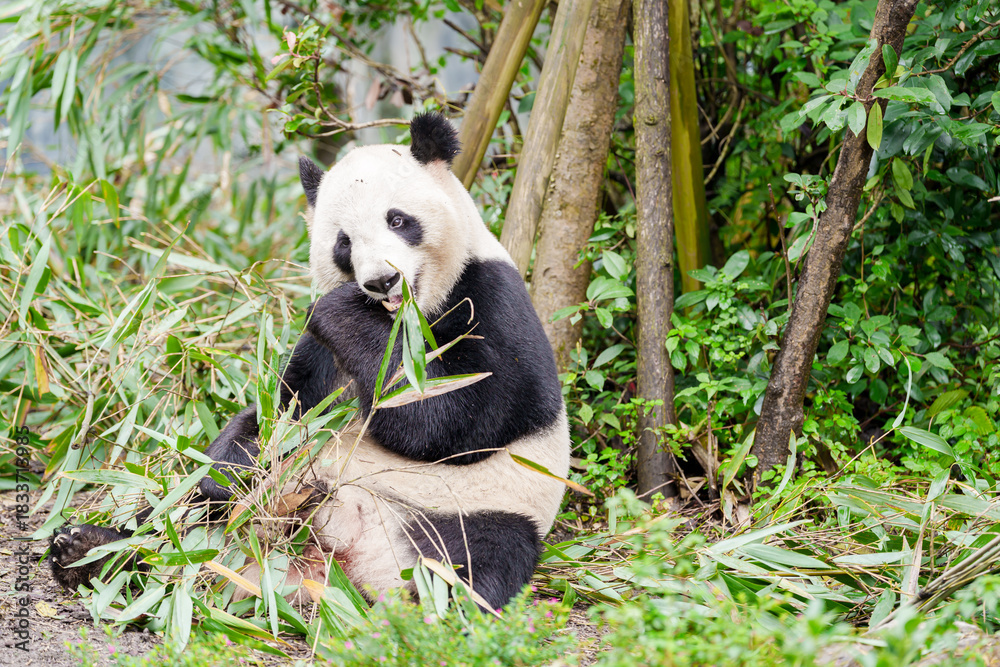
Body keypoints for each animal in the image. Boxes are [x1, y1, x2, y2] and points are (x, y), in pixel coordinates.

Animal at [50, 112, 571, 611]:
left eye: (397, 220)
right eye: (343, 242)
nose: (381, 281)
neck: (403, 321)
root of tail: (342, 557)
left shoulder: (491, 298)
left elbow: (461, 416)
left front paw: (347, 315)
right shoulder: (320, 358)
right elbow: (280, 412)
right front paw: (233, 467)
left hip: (471, 510)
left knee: (476, 561)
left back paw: (425, 613)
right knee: (176, 521)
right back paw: (88, 551)